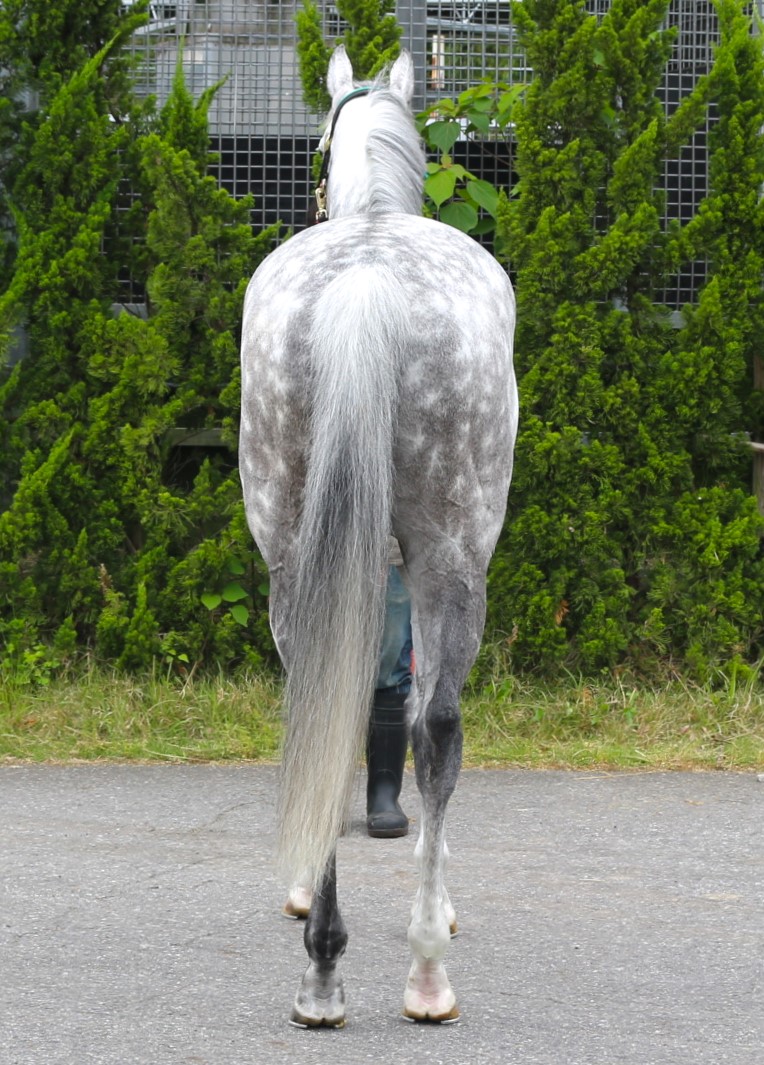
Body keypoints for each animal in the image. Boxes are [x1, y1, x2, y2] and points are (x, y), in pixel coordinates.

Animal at [239, 45, 518, 1027]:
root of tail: (367, 278)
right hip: (451, 559)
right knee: (438, 727)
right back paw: (425, 971)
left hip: (294, 558)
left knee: (324, 699)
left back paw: (322, 974)